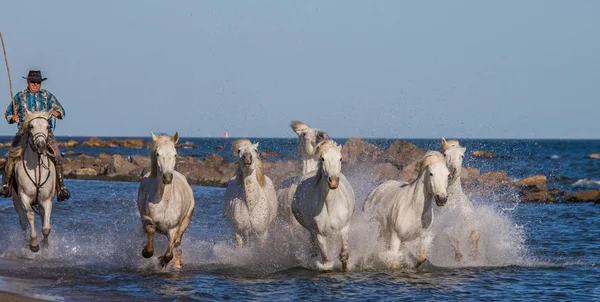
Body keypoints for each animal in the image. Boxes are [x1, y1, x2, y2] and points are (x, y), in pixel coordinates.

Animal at [12, 111, 56, 252]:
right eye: (31, 126)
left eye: (48, 126)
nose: (41, 145)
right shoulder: (24, 197)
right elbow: (30, 215)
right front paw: (34, 244)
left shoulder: (46, 201)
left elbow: (46, 227)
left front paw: (46, 246)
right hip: (16, 201)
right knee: (23, 223)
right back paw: (26, 244)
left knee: (41, 217)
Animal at [137, 131, 193, 268]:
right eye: (157, 154)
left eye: (175, 154)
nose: (167, 177)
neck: (164, 202)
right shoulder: (147, 219)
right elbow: (150, 231)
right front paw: (146, 252)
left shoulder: (173, 228)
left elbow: (169, 254)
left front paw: (162, 261)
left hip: (186, 220)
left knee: (177, 242)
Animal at [290, 139, 352, 272]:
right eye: (323, 158)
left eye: (340, 158)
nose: (333, 181)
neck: (330, 205)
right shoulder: (319, 234)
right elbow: (325, 260)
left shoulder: (344, 228)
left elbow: (344, 255)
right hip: (311, 230)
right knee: (314, 249)